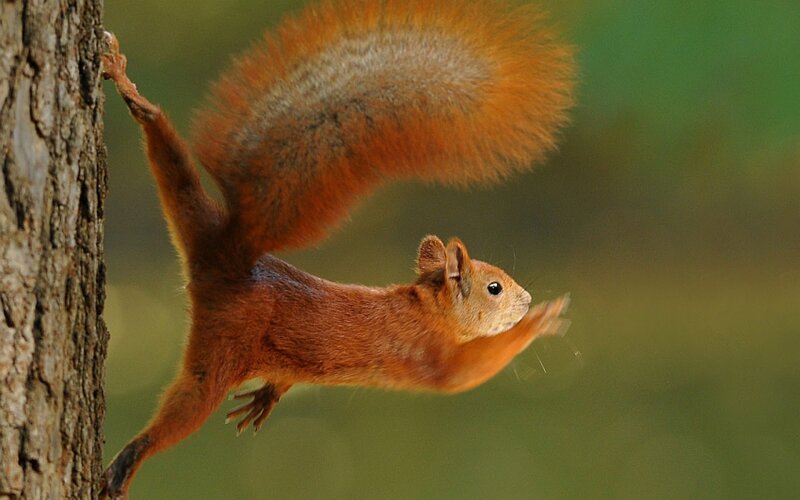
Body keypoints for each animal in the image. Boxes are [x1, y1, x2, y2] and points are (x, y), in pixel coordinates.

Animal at [99, 0, 574, 497]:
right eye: (495, 287)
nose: (526, 300)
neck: (427, 309)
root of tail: (229, 254)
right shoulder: (431, 355)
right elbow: (467, 372)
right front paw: (539, 321)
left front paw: (269, 395)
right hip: (221, 349)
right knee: (185, 405)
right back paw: (129, 459)